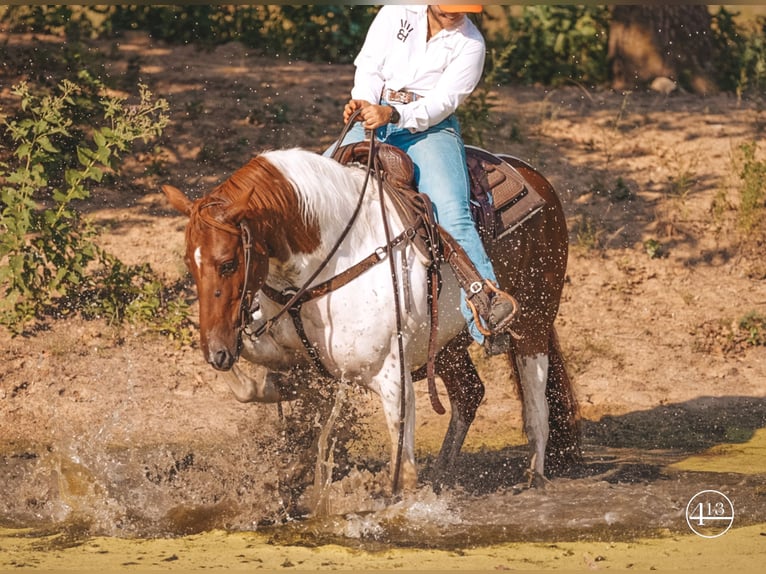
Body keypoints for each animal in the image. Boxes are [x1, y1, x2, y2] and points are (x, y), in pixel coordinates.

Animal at [164, 148, 584, 496]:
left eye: (228, 263)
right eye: (190, 263)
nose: (217, 351)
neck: (332, 257)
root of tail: (536, 177)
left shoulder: (390, 373)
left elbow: (403, 471)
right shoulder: (298, 356)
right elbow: (254, 388)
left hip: (533, 321)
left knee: (536, 406)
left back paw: (533, 477)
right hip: (447, 346)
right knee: (469, 393)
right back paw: (443, 475)